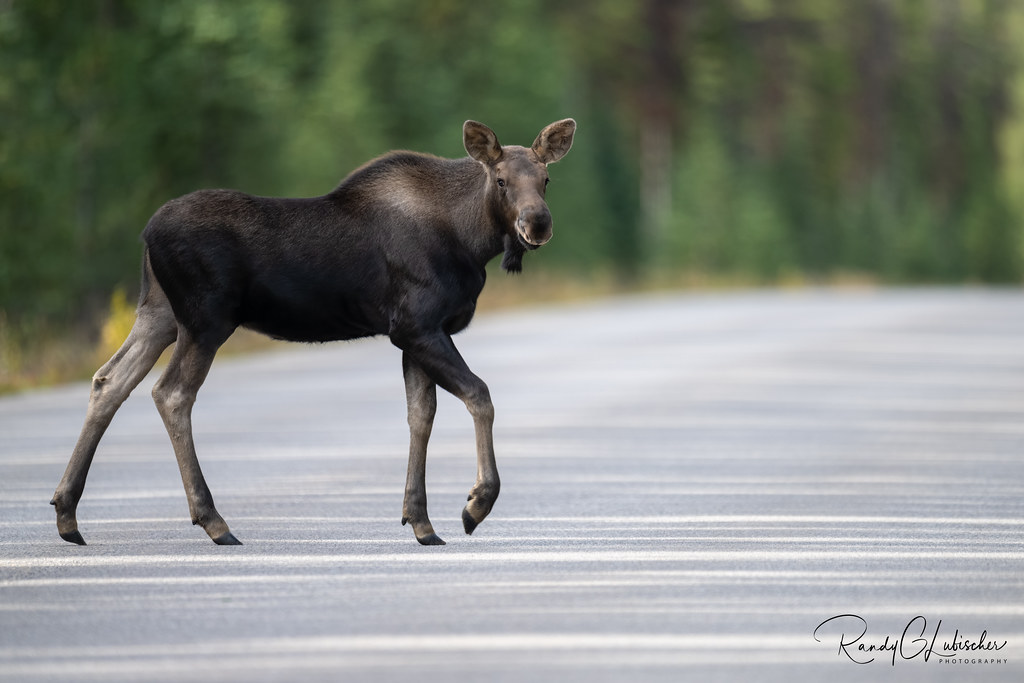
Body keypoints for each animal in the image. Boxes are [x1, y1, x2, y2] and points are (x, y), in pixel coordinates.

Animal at [51, 118, 576, 546]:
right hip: (205, 320)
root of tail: (145, 233)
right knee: (171, 393)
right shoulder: (418, 326)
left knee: (109, 380)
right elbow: (479, 394)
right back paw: (214, 521)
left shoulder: (414, 335)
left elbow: (420, 416)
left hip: (158, 313)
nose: (538, 223)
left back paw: (67, 514)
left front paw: (421, 521)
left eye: (547, 180)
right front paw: (475, 504)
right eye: (502, 180)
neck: (470, 239)